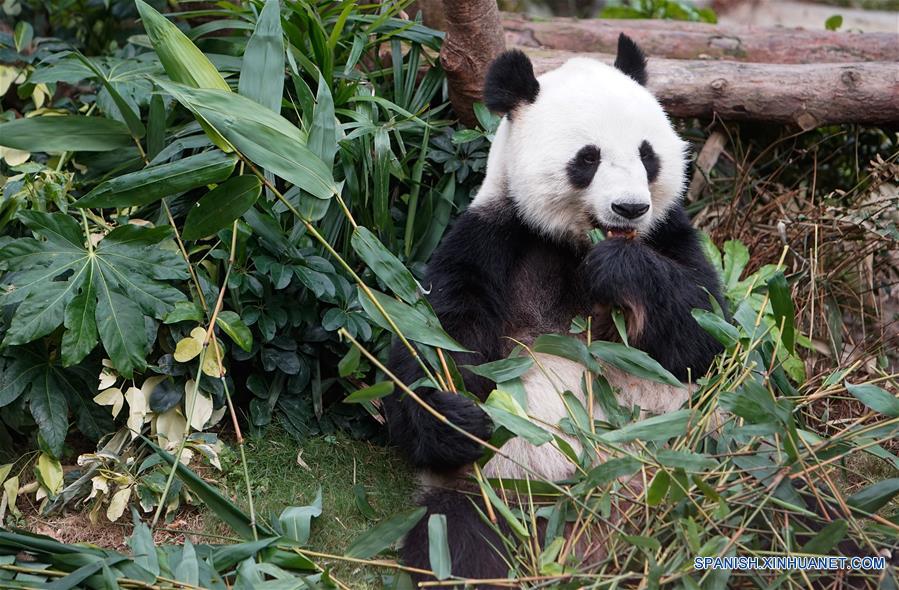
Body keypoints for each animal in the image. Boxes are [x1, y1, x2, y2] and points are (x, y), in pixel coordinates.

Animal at [384, 34, 728, 584]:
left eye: (647, 154)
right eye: (588, 158)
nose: (630, 208)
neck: (573, 242)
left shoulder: (669, 233)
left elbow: (708, 335)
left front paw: (620, 269)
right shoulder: (491, 238)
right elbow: (436, 340)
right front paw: (454, 417)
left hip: (710, 465)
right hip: (498, 495)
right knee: (460, 543)